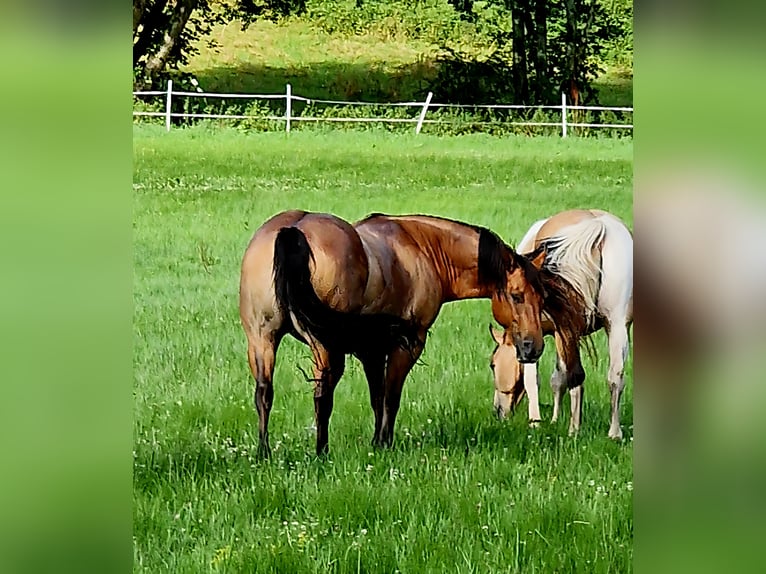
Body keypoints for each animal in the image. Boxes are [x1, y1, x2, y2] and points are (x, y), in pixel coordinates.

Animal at [238, 210, 571, 457]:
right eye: (516, 296)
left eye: (542, 297)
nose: (532, 348)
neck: (422, 248)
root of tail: (293, 229)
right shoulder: (407, 345)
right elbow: (391, 397)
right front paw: (384, 443)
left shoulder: (371, 350)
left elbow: (377, 396)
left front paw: (376, 442)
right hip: (325, 348)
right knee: (322, 397)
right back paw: (322, 452)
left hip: (262, 341)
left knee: (264, 393)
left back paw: (264, 453)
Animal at [488, 209, 633, 439]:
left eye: (493, 364)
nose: (498, 411)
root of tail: (597, 225)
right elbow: (558, 378)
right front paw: (555, 419)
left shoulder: (540, 338)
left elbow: (534, 380)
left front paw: (535, 422)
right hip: (618, 325)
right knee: (615, 377)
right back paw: (614, 432)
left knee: (577, 377)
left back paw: (574, 429)